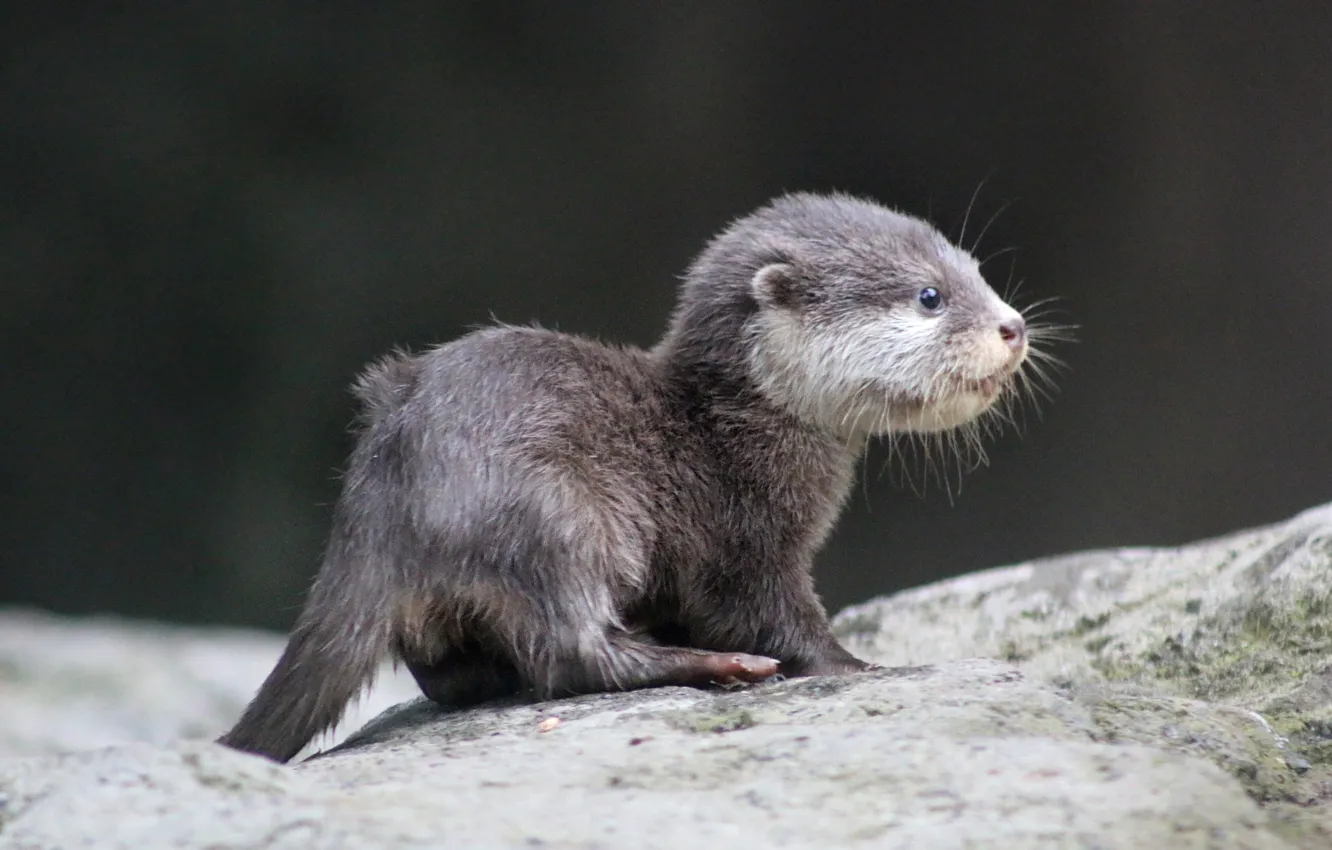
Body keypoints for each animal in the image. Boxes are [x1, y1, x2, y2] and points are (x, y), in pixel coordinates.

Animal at [219, 191, 1045, 763]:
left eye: (976, 272)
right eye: (929, 296)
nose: (1014, 325)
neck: (736, 430)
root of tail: (381, 500)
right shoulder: (742, 540)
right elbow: (775, 617)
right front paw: (860, 665)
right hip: (559, 515)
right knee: (573, 651)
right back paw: (717, 667)